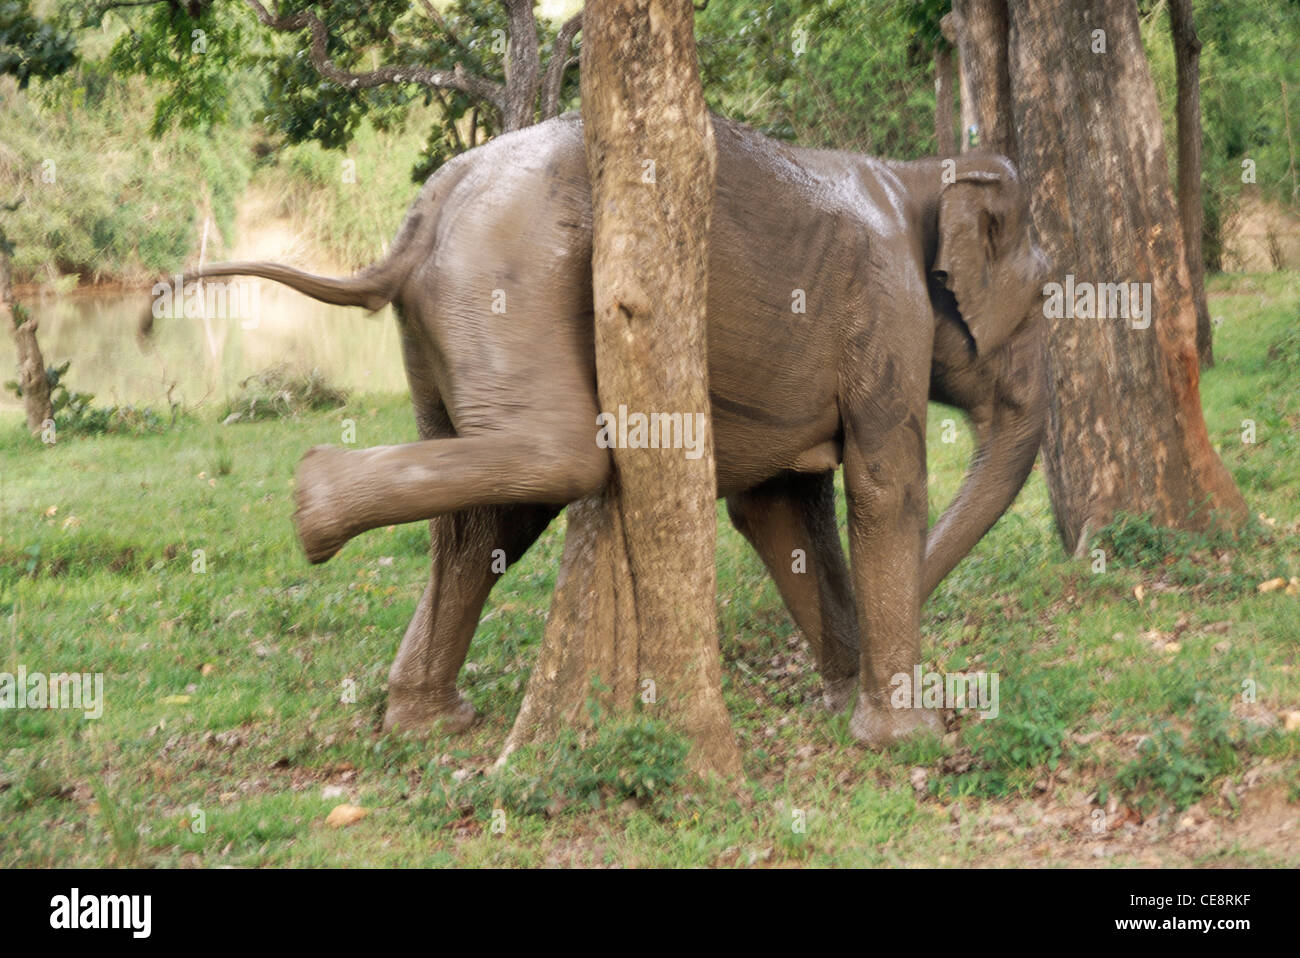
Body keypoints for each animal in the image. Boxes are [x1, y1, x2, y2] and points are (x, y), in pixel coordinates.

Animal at [162, 113, 1050, 748]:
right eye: (1046, 297)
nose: (870, 667)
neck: (919, 171)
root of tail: (422, 216)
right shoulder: (885, 309)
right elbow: (884, 486)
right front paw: (904, 738)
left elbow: (777, 511)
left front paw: (841, 701)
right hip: (511, 284)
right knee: (558, 459)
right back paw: (313, 501)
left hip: (443, 323)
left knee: (487, 514)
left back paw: (427, 718)